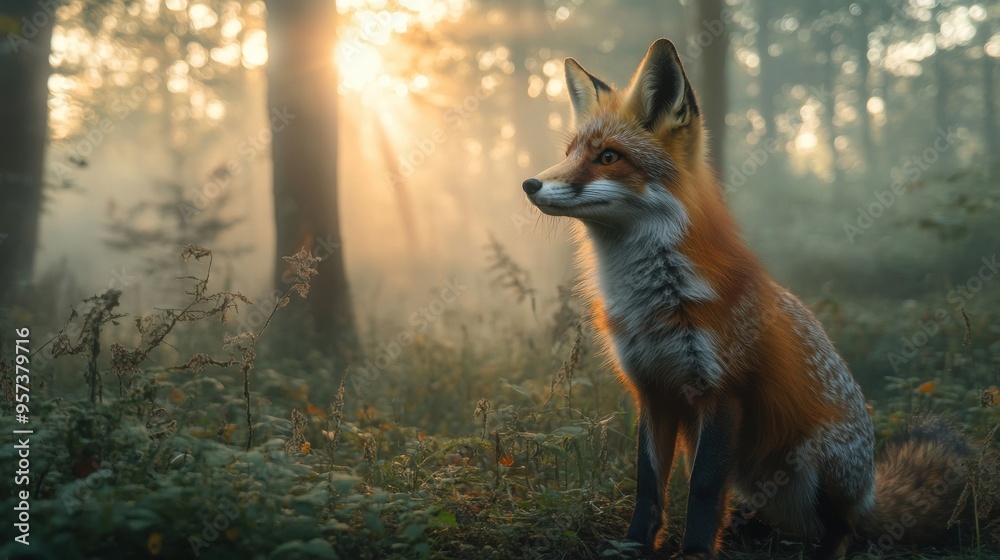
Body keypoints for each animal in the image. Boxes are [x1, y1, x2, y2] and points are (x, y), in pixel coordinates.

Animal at [521, 38, 970, 559]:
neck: (654, 302)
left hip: (816, 459)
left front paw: (695, 552)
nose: (529, 184)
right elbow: (648, 484)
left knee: (845, 530)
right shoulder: (652, 392)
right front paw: (633, 545)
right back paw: (747, 527)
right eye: (571, 153)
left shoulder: (721, 391)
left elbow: (702, 488)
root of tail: (870, 491)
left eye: (608, 157)